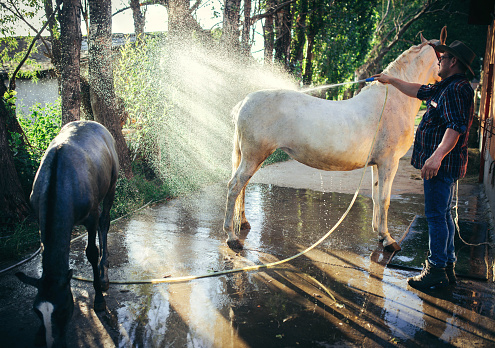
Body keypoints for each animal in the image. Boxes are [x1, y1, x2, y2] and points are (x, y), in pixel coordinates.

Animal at [225, 31, 446, 251]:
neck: (392, 100)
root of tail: (244, 102)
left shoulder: (377, 164)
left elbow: (376, 197)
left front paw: (379, 233)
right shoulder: (389, 163)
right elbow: (384, 199)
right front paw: (388, 240)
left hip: (252, 158)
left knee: (243, 186)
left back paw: (242, 223)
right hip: (254, 157)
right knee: (235, 186)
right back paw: (232, 237)